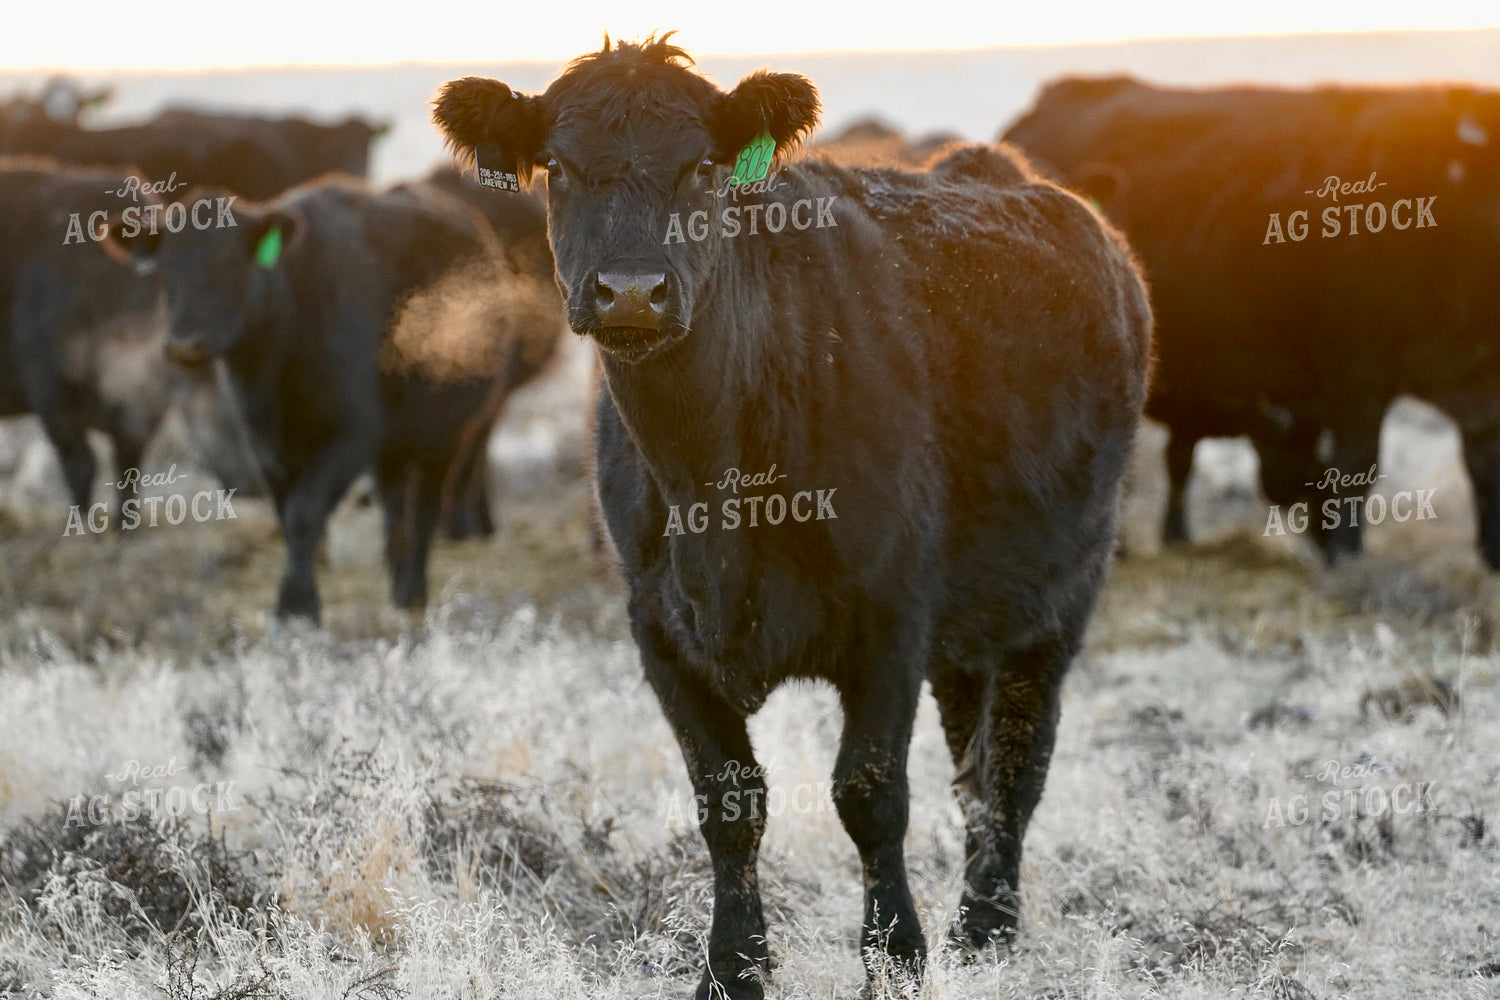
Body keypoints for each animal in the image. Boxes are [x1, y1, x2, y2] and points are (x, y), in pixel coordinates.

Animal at [0, 156, 176, 519]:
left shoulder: (150, 406)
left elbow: (128, 467)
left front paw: (125, 524)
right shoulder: (45, 381)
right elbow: (80, 464)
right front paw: (83, 523)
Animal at [107, 176, 564, 620]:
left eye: (232, 263)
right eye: (166, 269)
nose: (185, 344)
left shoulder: (353, 436)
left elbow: (305, 512)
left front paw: (295, 605)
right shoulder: (268, 446)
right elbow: (287, 513)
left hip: (447, 432)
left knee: (426, 507)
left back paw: (411, 591)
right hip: (395, 441)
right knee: (395, 502)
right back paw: (395, 571)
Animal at [434, 35, 1151, 999]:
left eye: (703, 167)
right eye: (559, 166)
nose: (631, 292)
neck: (715, 485)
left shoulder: (890, 616)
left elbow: (870, 794)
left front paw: (898, 957)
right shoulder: (659, 628)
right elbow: (729, 804)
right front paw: (732, 968)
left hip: (1060, 593)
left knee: (1015, 761)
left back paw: (986, 928)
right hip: (968, 629)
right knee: (973, 762)